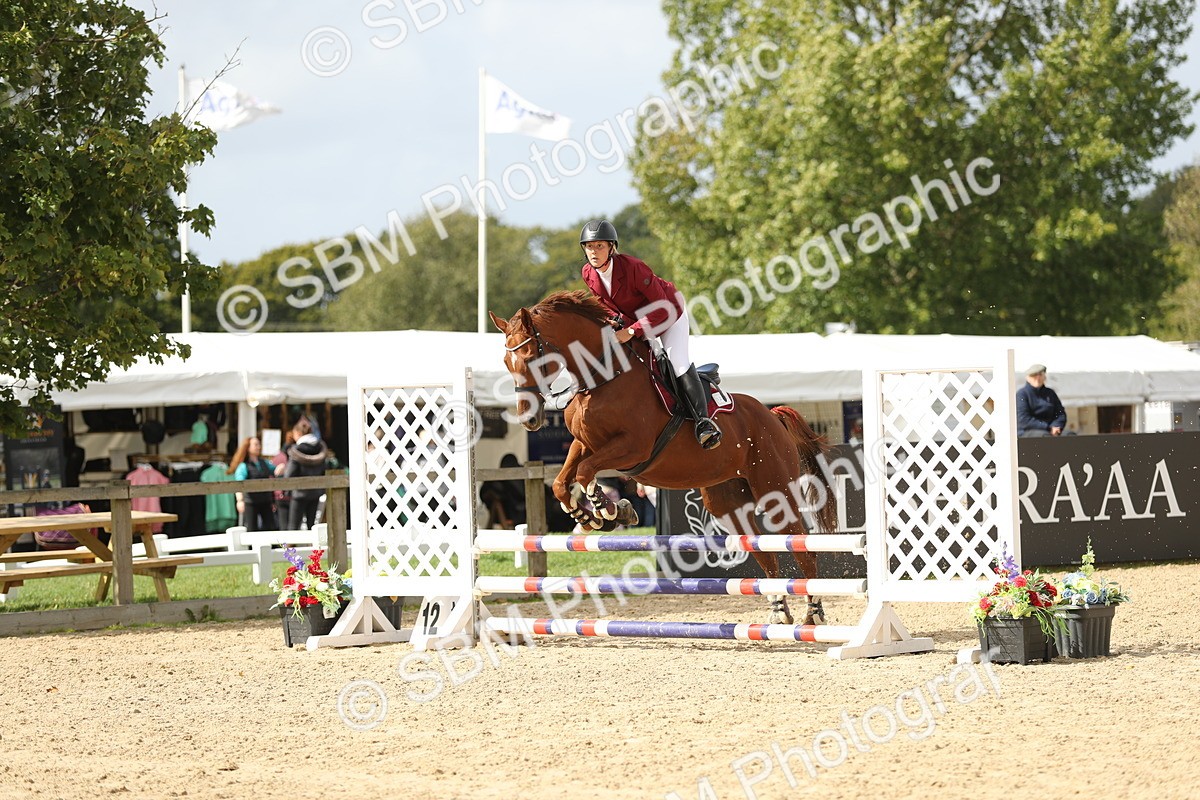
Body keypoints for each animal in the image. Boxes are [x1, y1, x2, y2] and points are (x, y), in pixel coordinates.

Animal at [489, 290, 838, 626]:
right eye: (506, 361)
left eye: (532, 358)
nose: (529, 420)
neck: (602, 378)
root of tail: (772, 416)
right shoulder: (583, 444)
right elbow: (563, 482)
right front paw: (591, 517)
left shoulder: (633, 447)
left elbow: (586, 472)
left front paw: (611, 510)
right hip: (728, 503)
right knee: (762, 549)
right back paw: (779, 610)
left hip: (774, 487)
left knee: (802, 546)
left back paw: (814, 612)